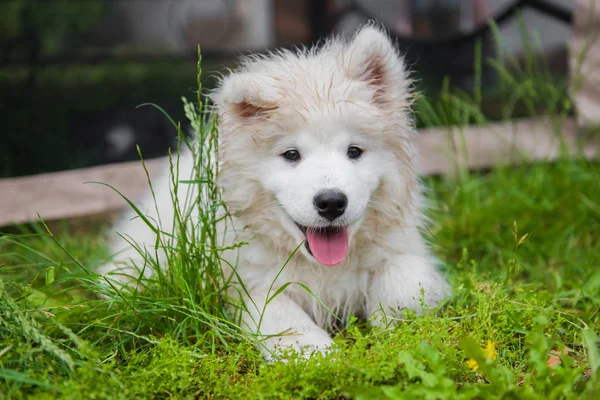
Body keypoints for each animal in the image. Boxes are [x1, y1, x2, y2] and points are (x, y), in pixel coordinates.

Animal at [101, 24, 450, 360]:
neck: (322, 268)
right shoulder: (245, 284)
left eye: (354, 151)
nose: (331, 202)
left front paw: (396, 328)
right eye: (291, 155)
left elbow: (405, 281)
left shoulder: (402, 246)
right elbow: (283, 316)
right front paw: (317, 354)